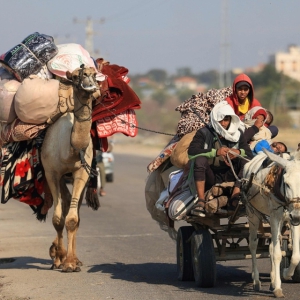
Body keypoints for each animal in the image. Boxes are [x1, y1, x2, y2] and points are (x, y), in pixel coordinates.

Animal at [41, 65, 101, 272]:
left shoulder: (82, 172)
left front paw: (71, 263)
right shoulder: (51, 173)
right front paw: (59, 258)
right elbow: (57, 219)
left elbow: (72, 219)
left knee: (74, 212)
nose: (89, 83)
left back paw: (74, 259)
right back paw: (57, 256)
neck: (70, 149)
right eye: (75, 76)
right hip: (58, 177)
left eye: (94, 75)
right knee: (64, 204)